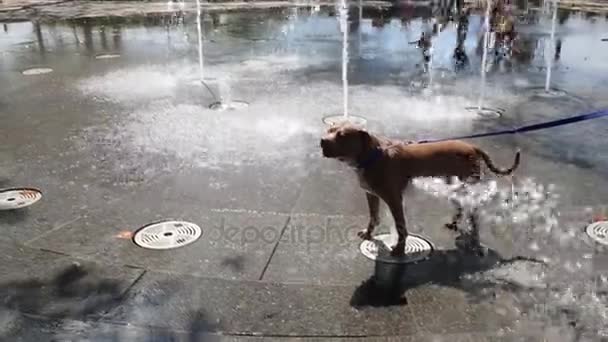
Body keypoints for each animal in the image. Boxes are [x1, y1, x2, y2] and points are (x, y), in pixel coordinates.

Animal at [320, 123, 520, 256]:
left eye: (342, 135)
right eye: (329, 130)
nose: (322, 141)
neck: (373, 155)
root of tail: (473, 147)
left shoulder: (394, 199)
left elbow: (400, 226)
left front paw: (399, 249)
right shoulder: (371, 195)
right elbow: (373, 217)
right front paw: (369, 233)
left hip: (467, 187)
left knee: (473, 212)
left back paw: (473, 235)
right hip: (453, 187)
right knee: (462, 207)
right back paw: (455, 223)